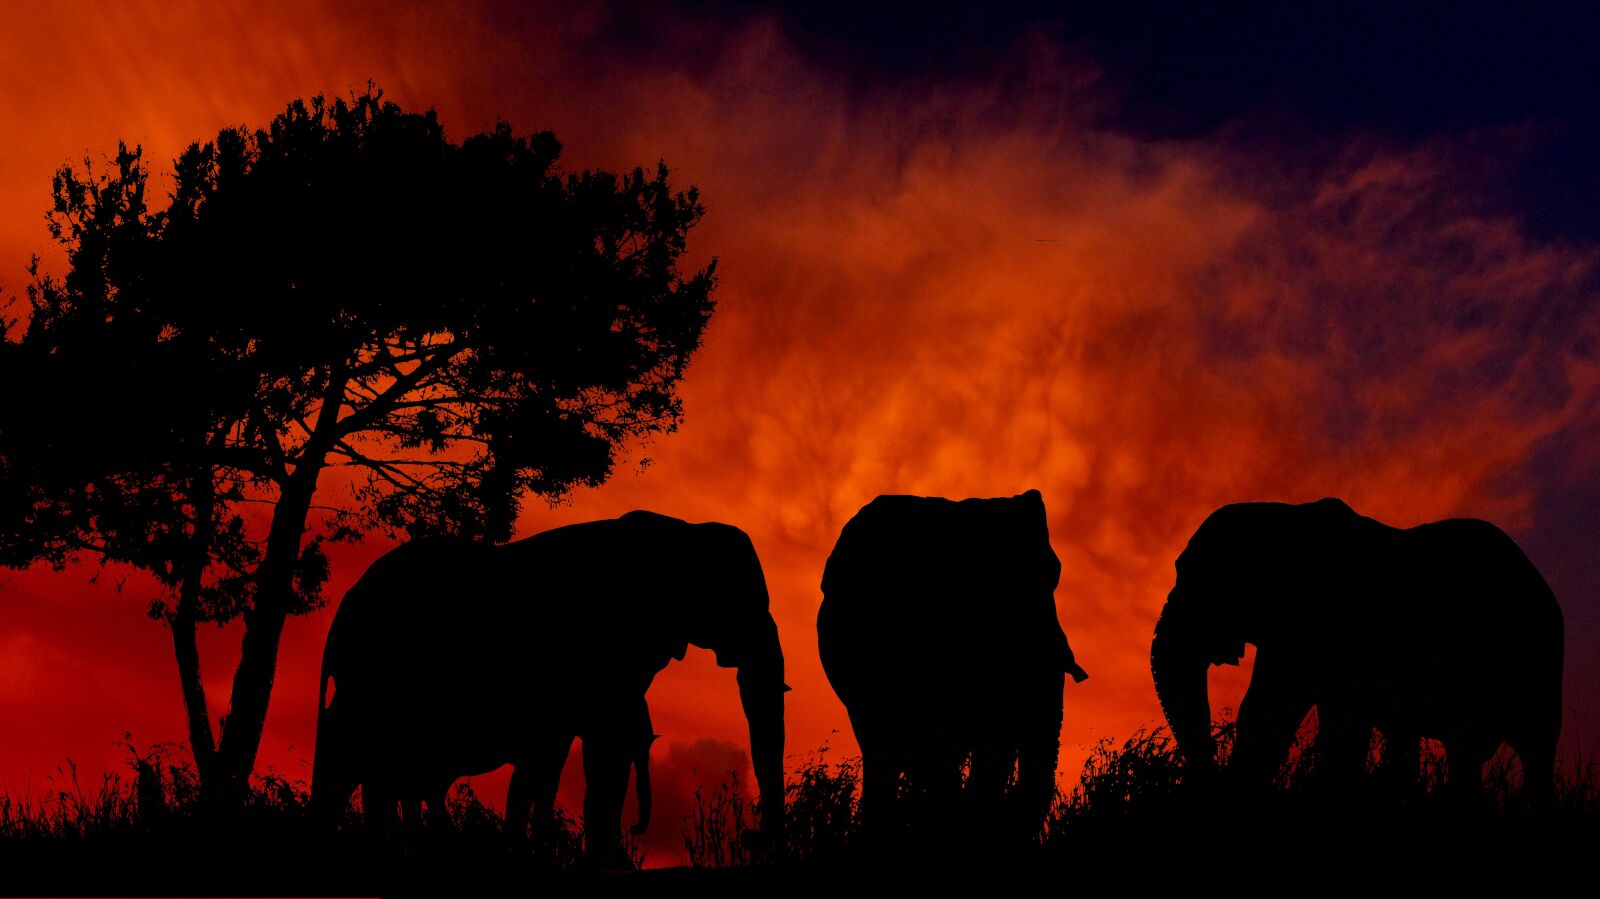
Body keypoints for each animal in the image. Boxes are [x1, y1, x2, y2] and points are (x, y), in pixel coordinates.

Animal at [309, 510, 787, 861]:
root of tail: (341, 613)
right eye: (742, 599)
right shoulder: (610, 643)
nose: (751, 837)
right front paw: (605, 862)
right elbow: (605, 743)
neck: (685, 530)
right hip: (380, 674)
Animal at [1151, 497, 1564, 802]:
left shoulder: (1310, 625)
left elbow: (1268, 710)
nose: (1206, 776)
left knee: (1521, 745)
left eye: (1193, 575)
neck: (1282, 516)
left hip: (1534, 657)